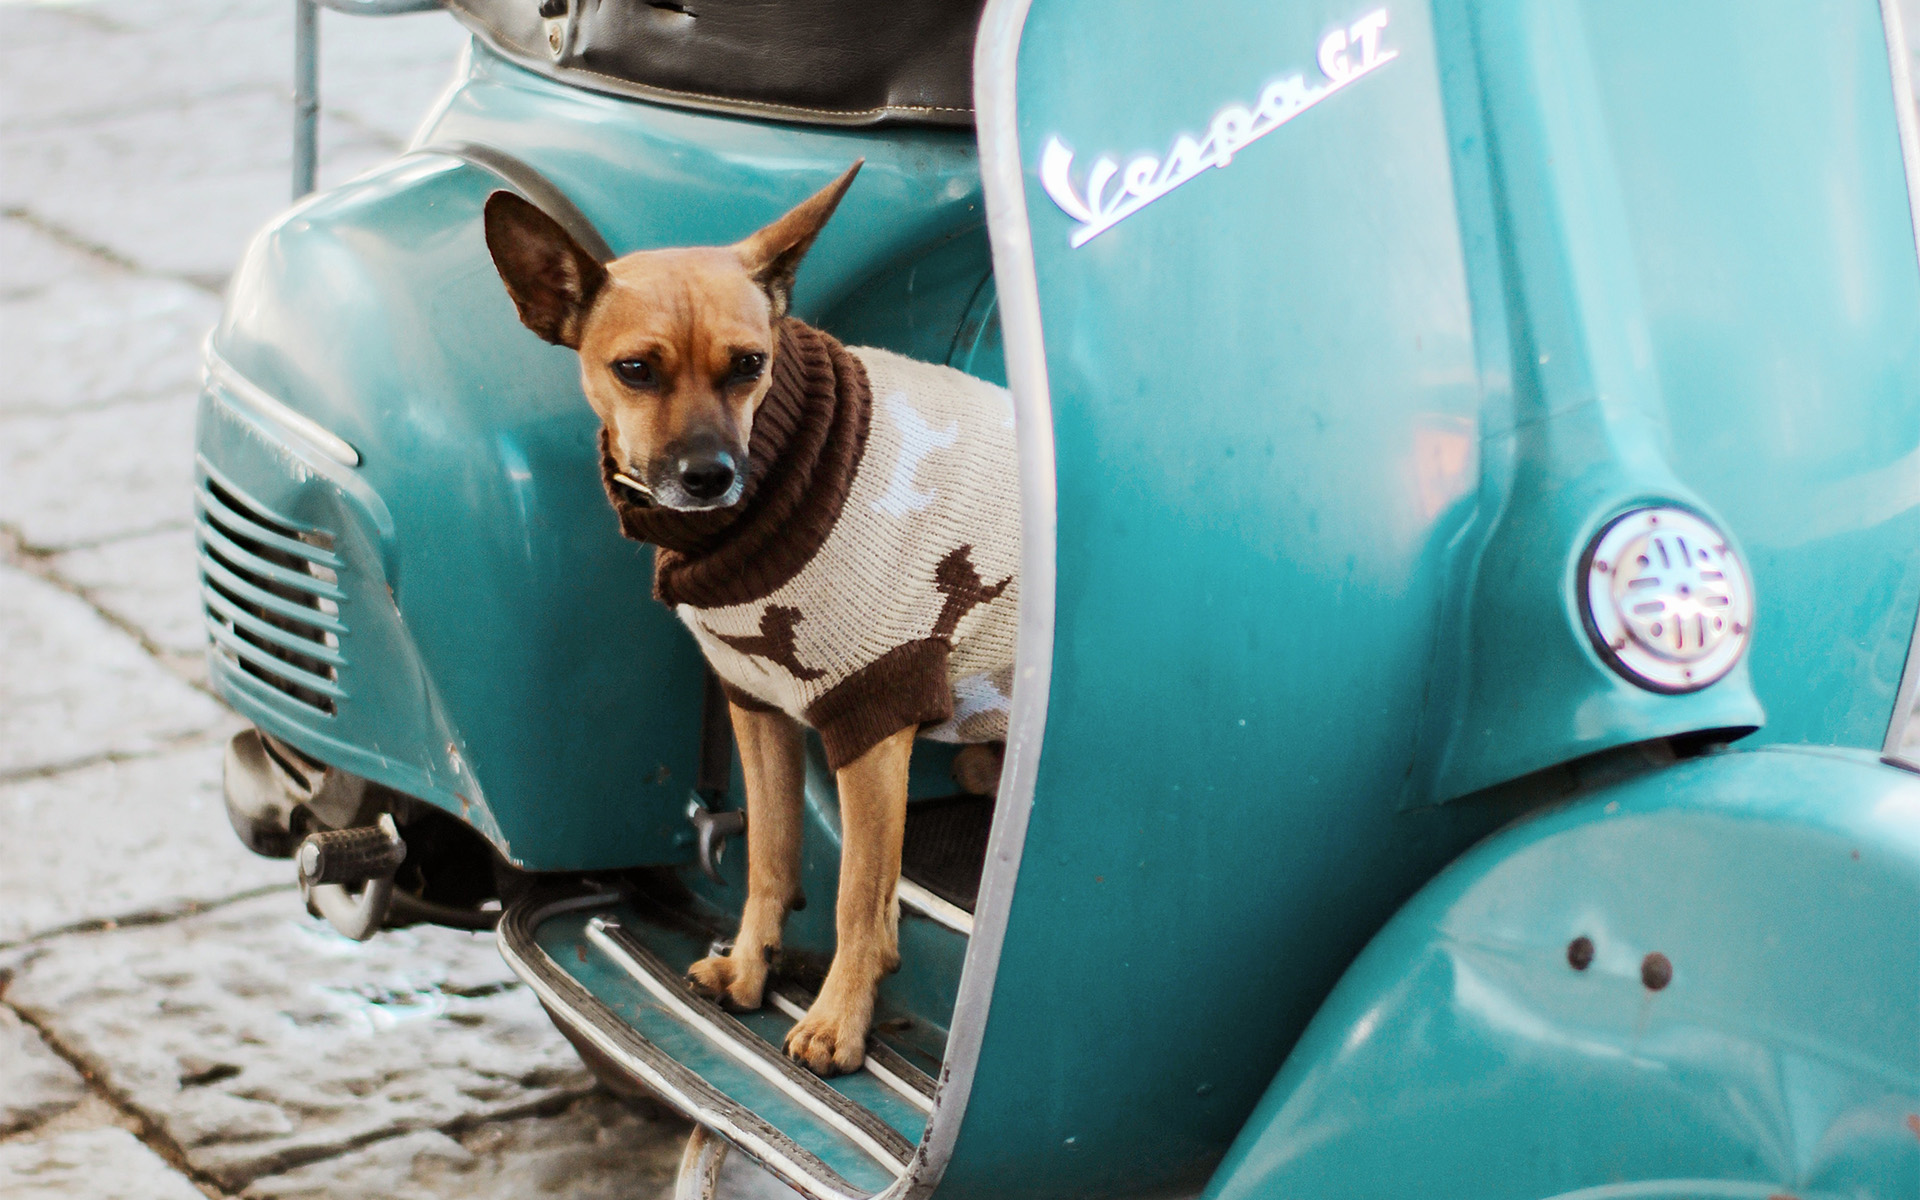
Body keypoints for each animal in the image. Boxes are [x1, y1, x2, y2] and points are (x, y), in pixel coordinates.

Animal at [487, 164, 1013, 1075]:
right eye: (635, 369)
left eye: (748, 366)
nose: (710, 476)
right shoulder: (757, 704)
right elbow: (769, 854)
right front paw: (748, 967)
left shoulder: (872, 722)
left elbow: (858, 899)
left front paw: (838, 1020)